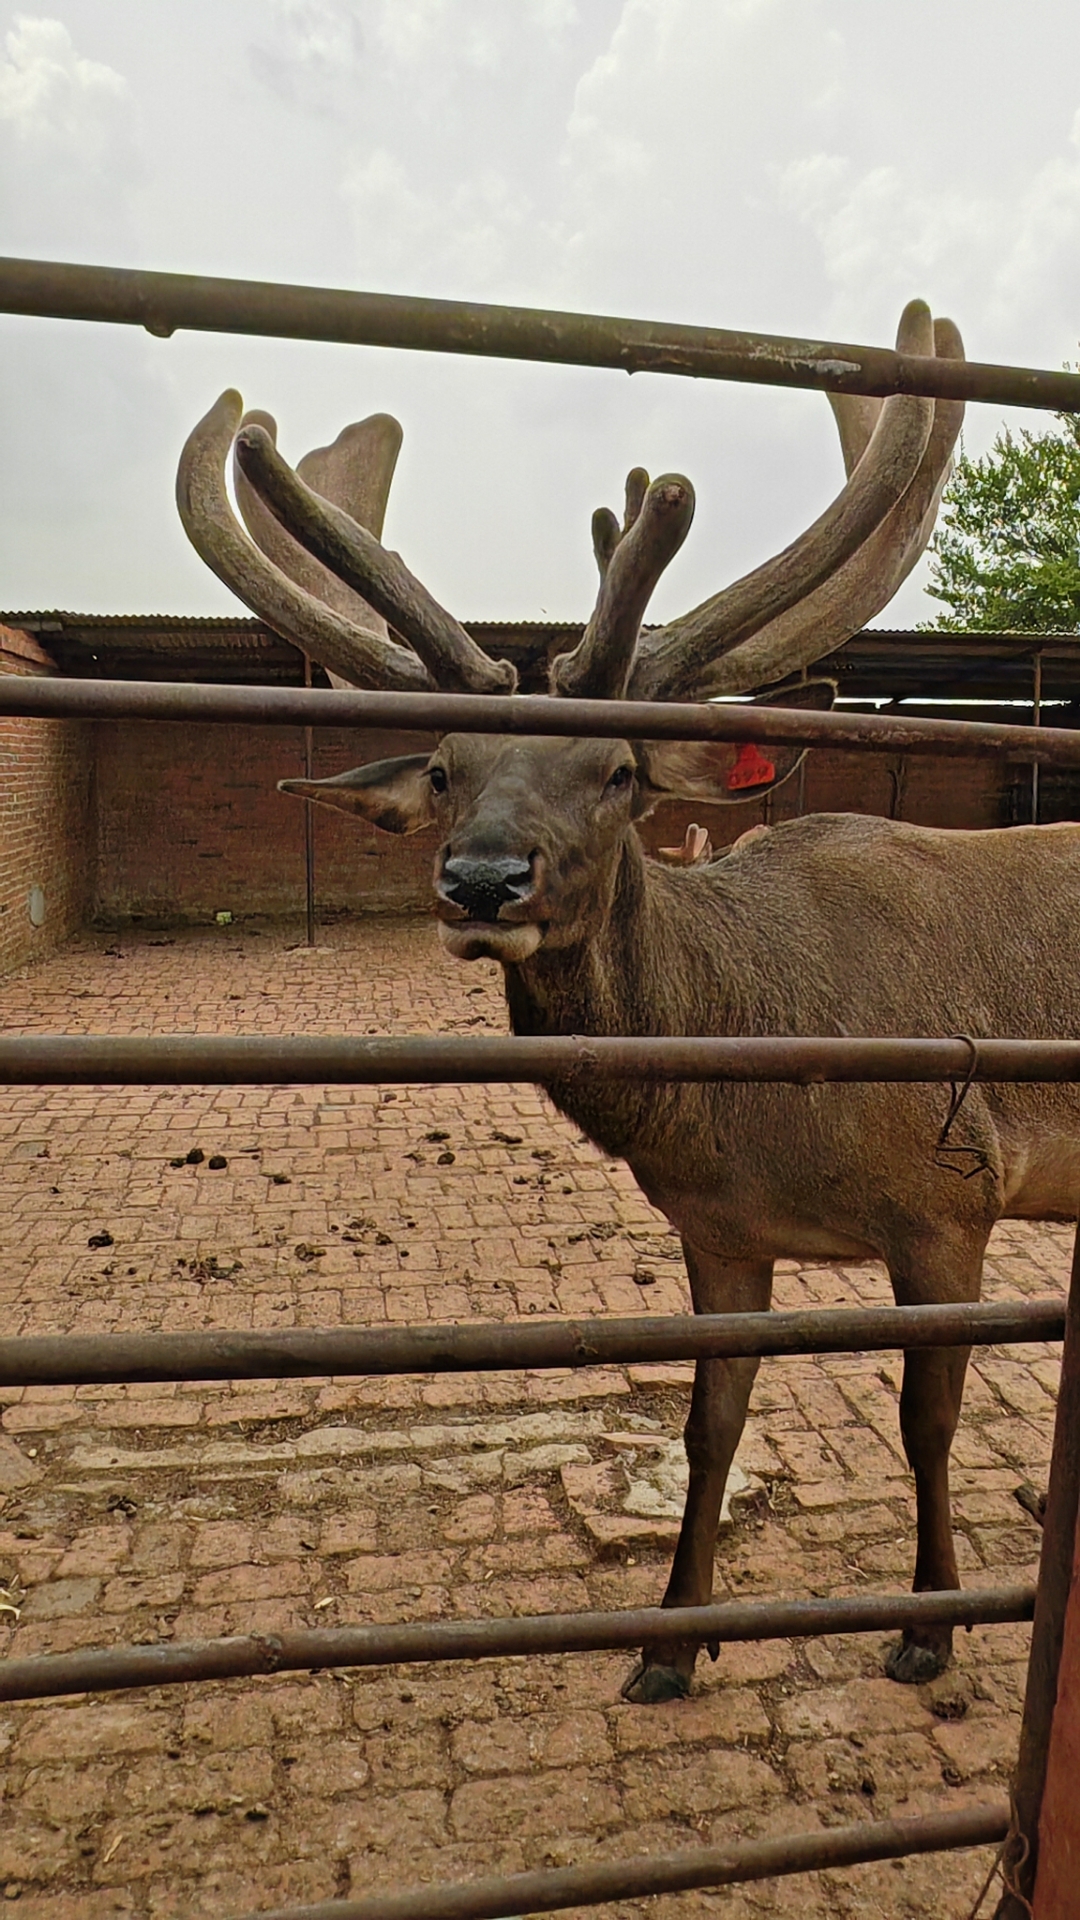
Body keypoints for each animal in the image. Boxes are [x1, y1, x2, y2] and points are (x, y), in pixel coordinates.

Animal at [176, 299, 1080, 1703]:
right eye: (446, 767)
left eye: (618, 770)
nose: (483, 880)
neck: (754, 1082)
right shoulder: (719, 1230)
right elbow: (712, 1425)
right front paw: (670, 1644)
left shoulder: (952, 1197)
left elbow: (925, 1421)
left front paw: (928, 1626)